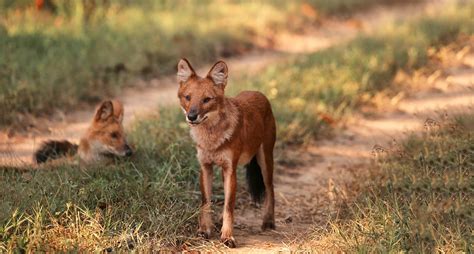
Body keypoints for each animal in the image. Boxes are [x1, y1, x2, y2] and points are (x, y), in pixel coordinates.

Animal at [177, 58, 274, 247]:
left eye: (207, 99)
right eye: (188, 97)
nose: (191, 116)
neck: (211, 138)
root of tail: (258, 93)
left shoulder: (230, 169)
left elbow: (228, 206)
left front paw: (228, 236)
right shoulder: (206, 167)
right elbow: (206, 202)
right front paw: (205, 230)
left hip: (265, 160)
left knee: (270, 189)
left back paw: (269, 221)